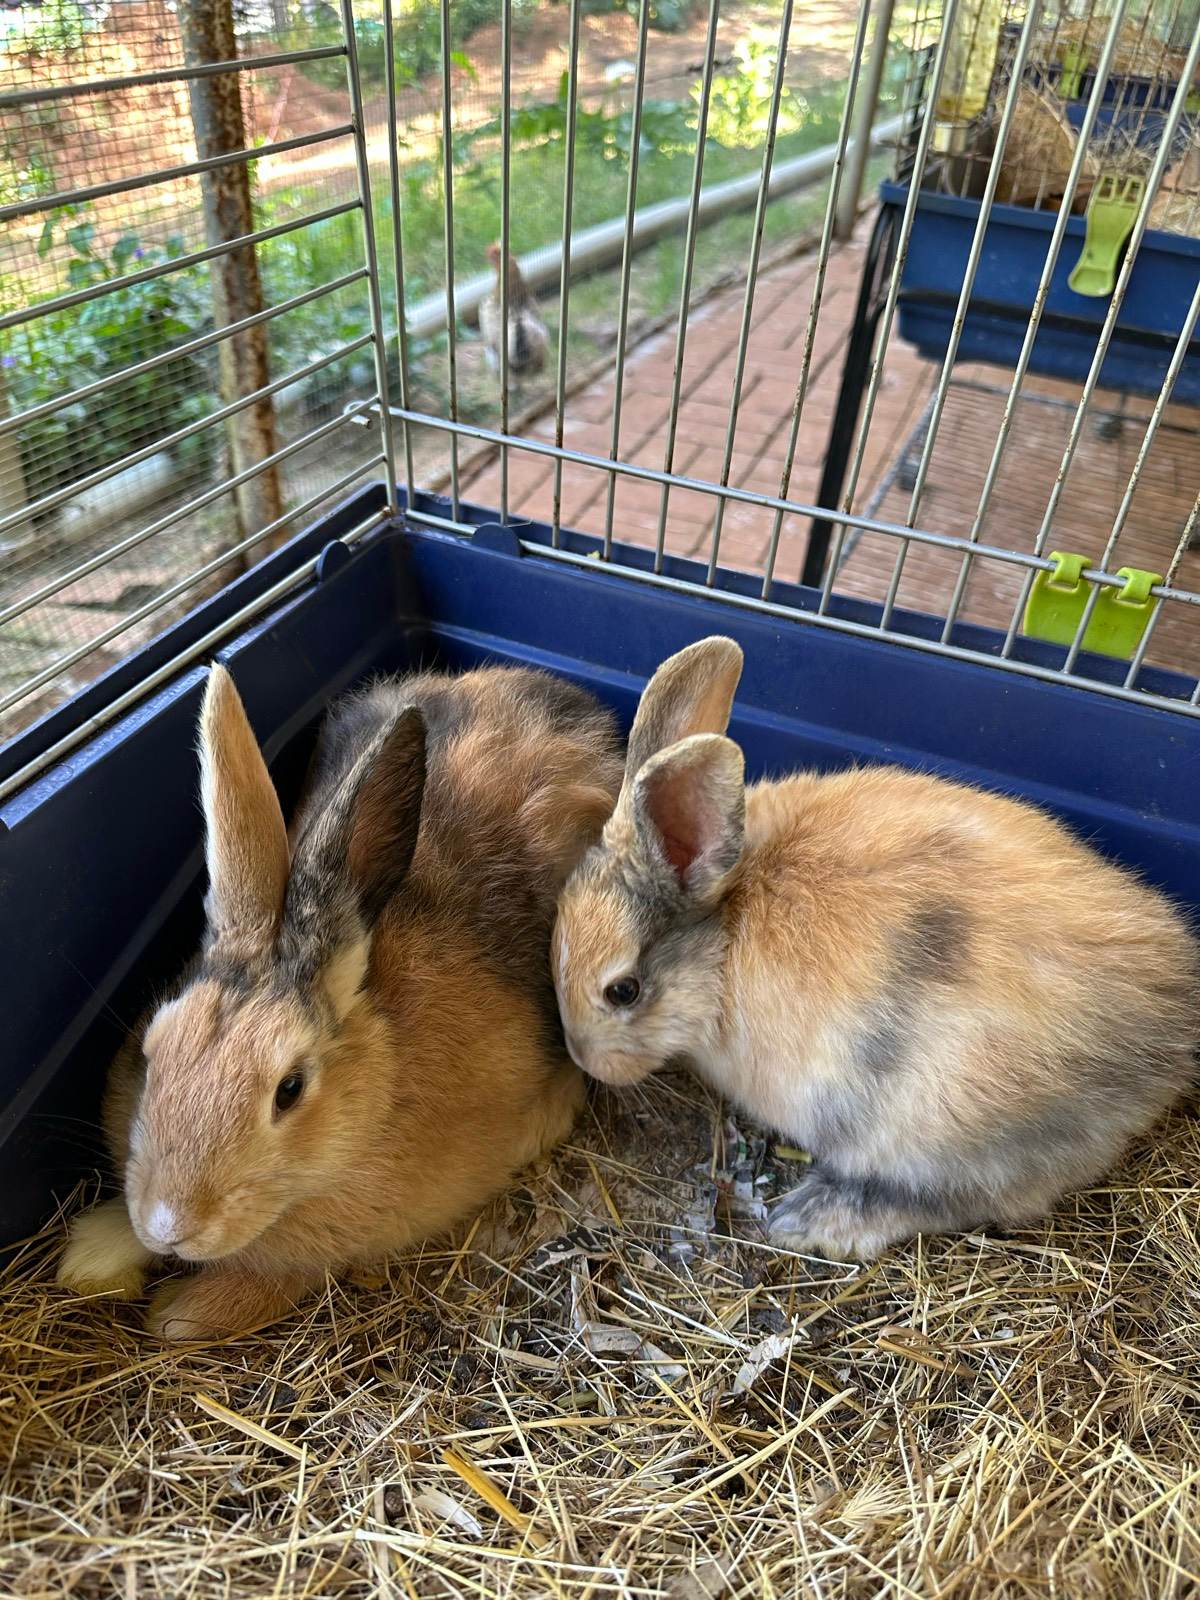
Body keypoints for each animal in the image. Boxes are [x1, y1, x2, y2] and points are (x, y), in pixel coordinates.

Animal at [58, 660, 623, 1339]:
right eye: (149, 1053)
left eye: (290, 1089)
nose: (171, 1225)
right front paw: (92, 1255)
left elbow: (270, 1282)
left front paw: (177, 1313)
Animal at [552, 636, 1200, 1261]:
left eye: (623, 990)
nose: (584, 1059)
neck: (724, 930)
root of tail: (1167, 1039)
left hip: (937, 1128)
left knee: (971, 1198)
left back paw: (814, 1219)